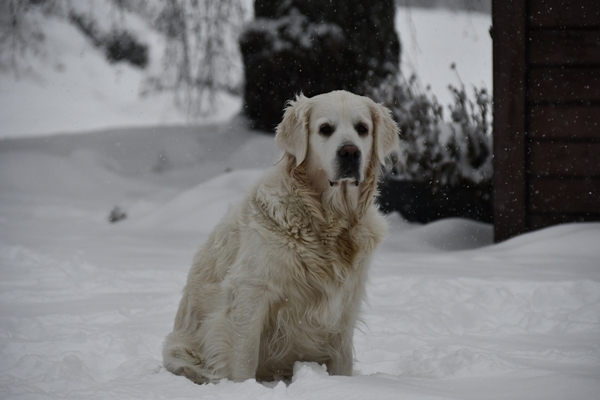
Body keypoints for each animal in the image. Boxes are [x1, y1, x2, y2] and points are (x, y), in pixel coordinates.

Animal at [163, 90, 398, 384]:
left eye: (362, 129)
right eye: (325, 129)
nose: (350, 152)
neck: (328, 221)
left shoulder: (346, 303)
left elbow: (342, 359)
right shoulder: (251, 289)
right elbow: (244, 356)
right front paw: (244, 387)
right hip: (182, 354)